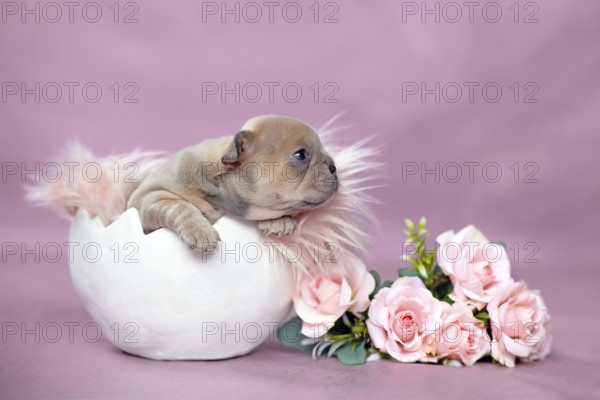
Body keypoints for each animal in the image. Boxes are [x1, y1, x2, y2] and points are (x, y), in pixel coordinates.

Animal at [127, 114, 338, 250]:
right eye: (300, 155)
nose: (333, 167)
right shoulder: (151, 196)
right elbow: (180, 206)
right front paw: (200, 231)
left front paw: (278, 221)